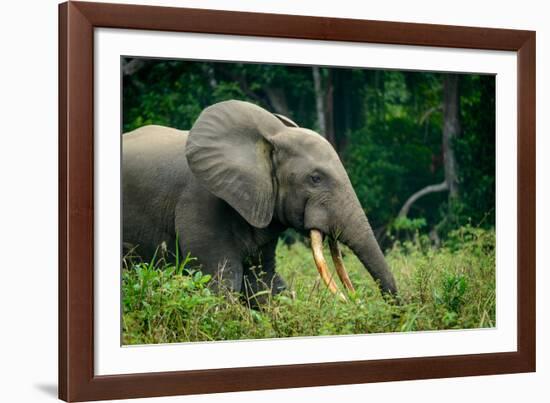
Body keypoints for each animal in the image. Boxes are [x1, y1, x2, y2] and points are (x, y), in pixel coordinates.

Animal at [123, 100, 398, 304]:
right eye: (315, 178)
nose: (355, 299)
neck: (271, 137)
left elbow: (263, 281)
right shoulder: (200, 201)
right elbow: (223, 281)